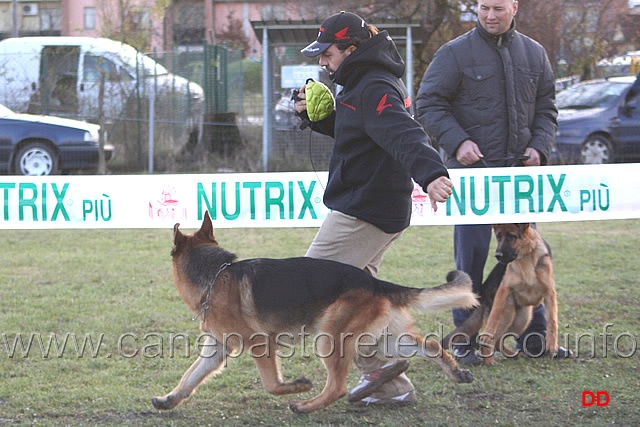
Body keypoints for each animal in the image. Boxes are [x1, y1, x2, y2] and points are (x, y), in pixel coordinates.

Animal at [152, 213, 478, 414]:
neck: (216, 276)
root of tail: (374, 282)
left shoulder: (260, 345)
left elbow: (271, 384)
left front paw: (296, 386)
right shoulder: (217, 348)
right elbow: (190, 376)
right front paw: (169, 400)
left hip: (330, 337)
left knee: (337, 386)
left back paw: (306, 406)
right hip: (381, 338)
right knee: (429, 346)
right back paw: (454, 372)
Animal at [442, 222, 556, 366]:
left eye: (511, 236)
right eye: (498, 237)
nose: (498, 255)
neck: (526, 258)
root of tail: (482, 292)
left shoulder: (550, 294)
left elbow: (552, 322)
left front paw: (552, 345)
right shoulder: (504, 291)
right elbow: (491, 325)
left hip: (523, 318)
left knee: (497, 341)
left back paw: (512, 355)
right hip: (507, 313)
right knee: (489, 337)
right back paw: (489, 360)